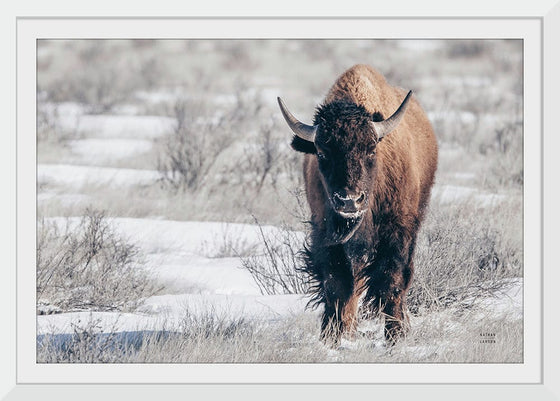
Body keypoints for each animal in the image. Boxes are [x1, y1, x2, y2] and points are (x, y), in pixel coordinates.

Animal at [278, 64, 440, 346]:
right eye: (322, 153)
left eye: (371, 150)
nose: (349, 200)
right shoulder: (326, 236)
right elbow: (337, 285)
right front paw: (331, 338)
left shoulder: (398, 233)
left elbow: (392, 281)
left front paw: (395, 337)